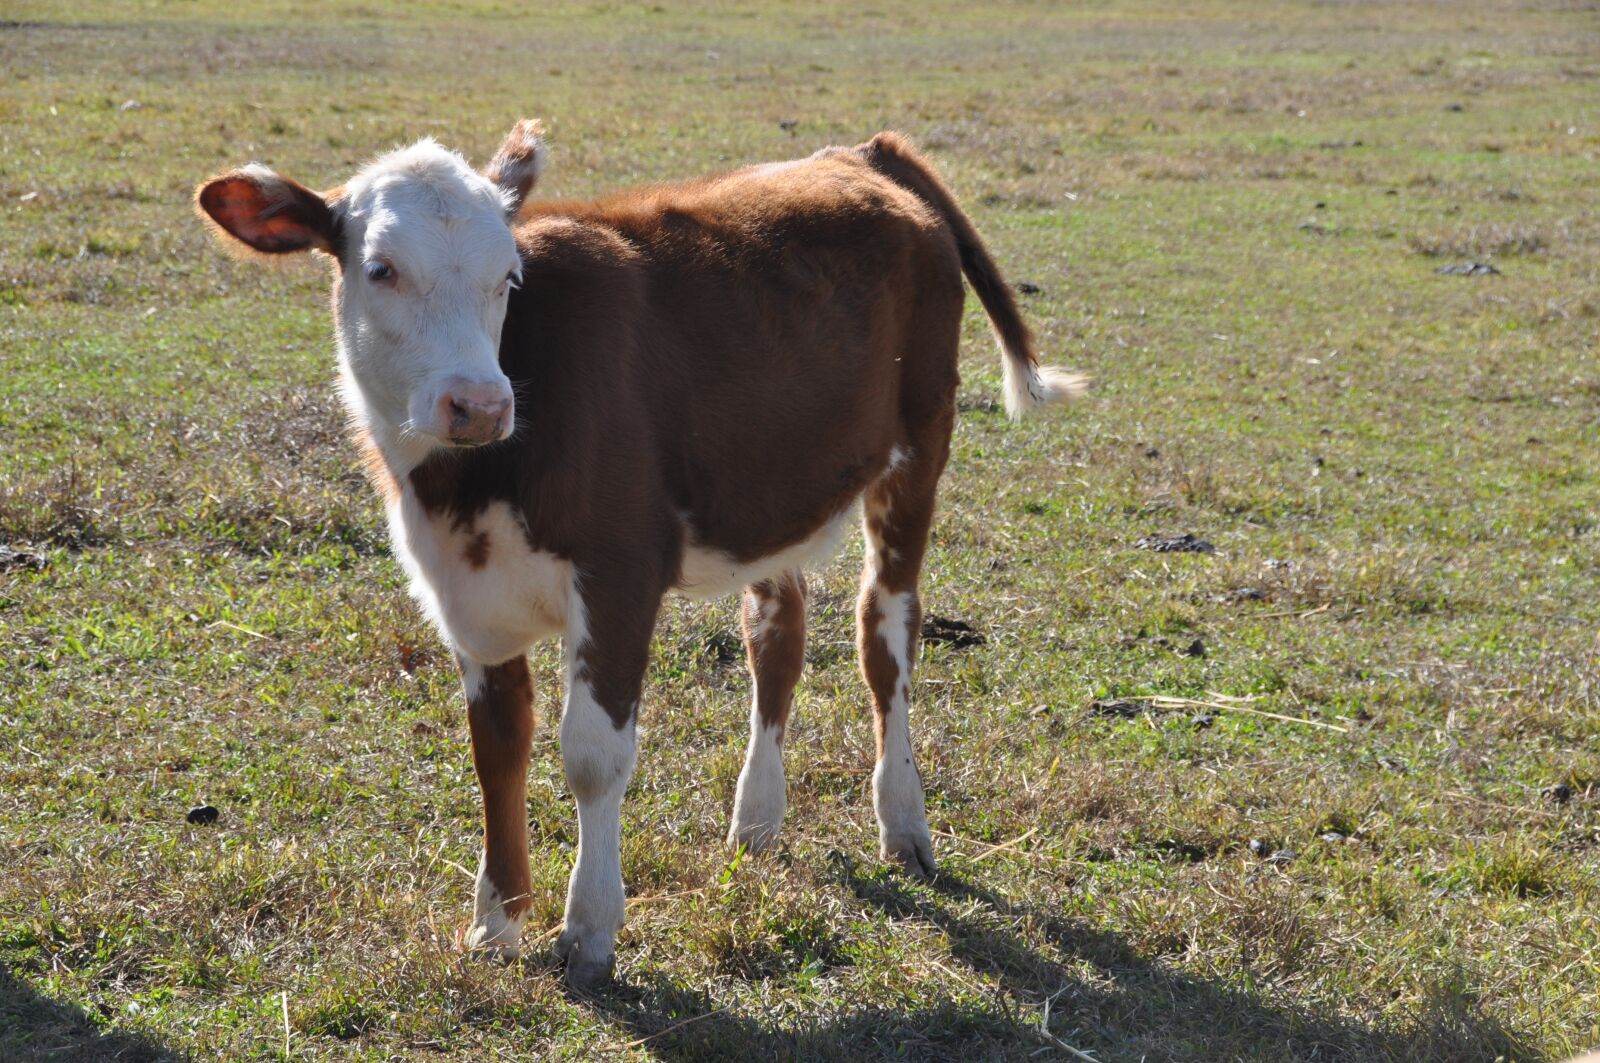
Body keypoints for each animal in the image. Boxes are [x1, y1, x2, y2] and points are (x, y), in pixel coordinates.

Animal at [195, 119, 1082, 987]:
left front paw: (588, 927)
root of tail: (860, 154)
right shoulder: (465, 593)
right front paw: (496, 921)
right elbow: (497, 747)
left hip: (919, 443)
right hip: (768, 485)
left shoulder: (620, 573)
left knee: (885, 631)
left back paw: (901, 816)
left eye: (508, 276)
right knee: (778, 633)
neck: (469, 484)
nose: (479, 403)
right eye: (380, 268)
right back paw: (756, 818)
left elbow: (592, 755)